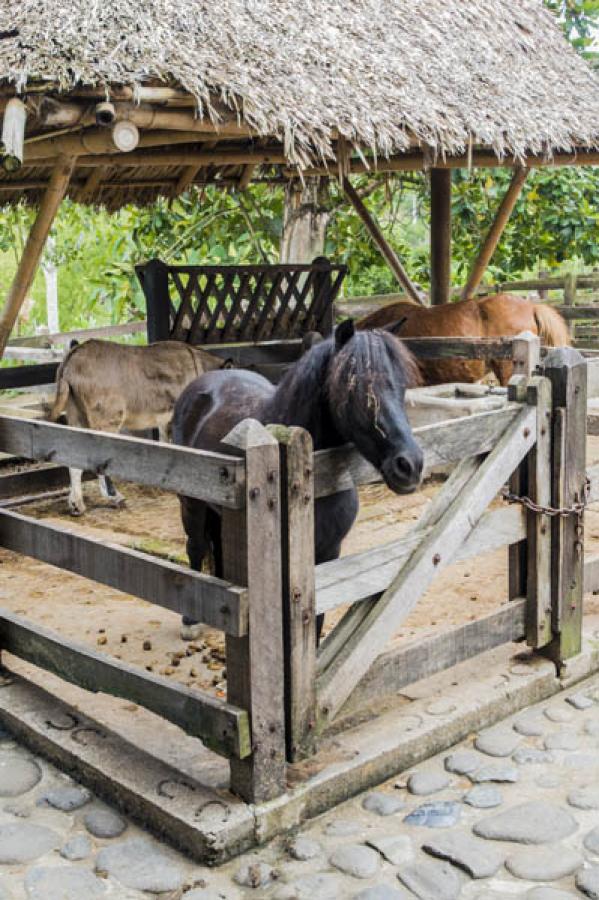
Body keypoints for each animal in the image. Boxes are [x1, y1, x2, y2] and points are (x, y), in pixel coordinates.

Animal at [173, 320, 424, 636]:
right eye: (354, 388)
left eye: (402, 386)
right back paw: (190, 621)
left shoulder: (328, 552)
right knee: (195, 547)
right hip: (190, 503)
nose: (410, 465)